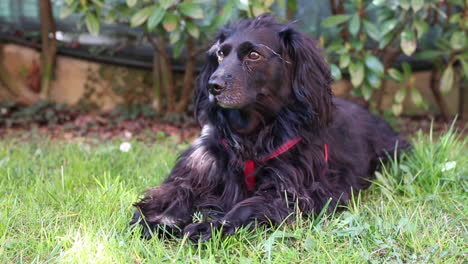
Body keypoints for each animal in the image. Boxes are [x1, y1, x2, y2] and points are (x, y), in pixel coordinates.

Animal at [131, 14, 410, 241]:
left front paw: (211, 227)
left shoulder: (294, 189)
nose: (213, 85)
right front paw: (159, 220)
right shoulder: (200, 168)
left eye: (254, 55)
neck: (249, 135)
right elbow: (180, 191)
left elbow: (247, 206)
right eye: (221, 54)